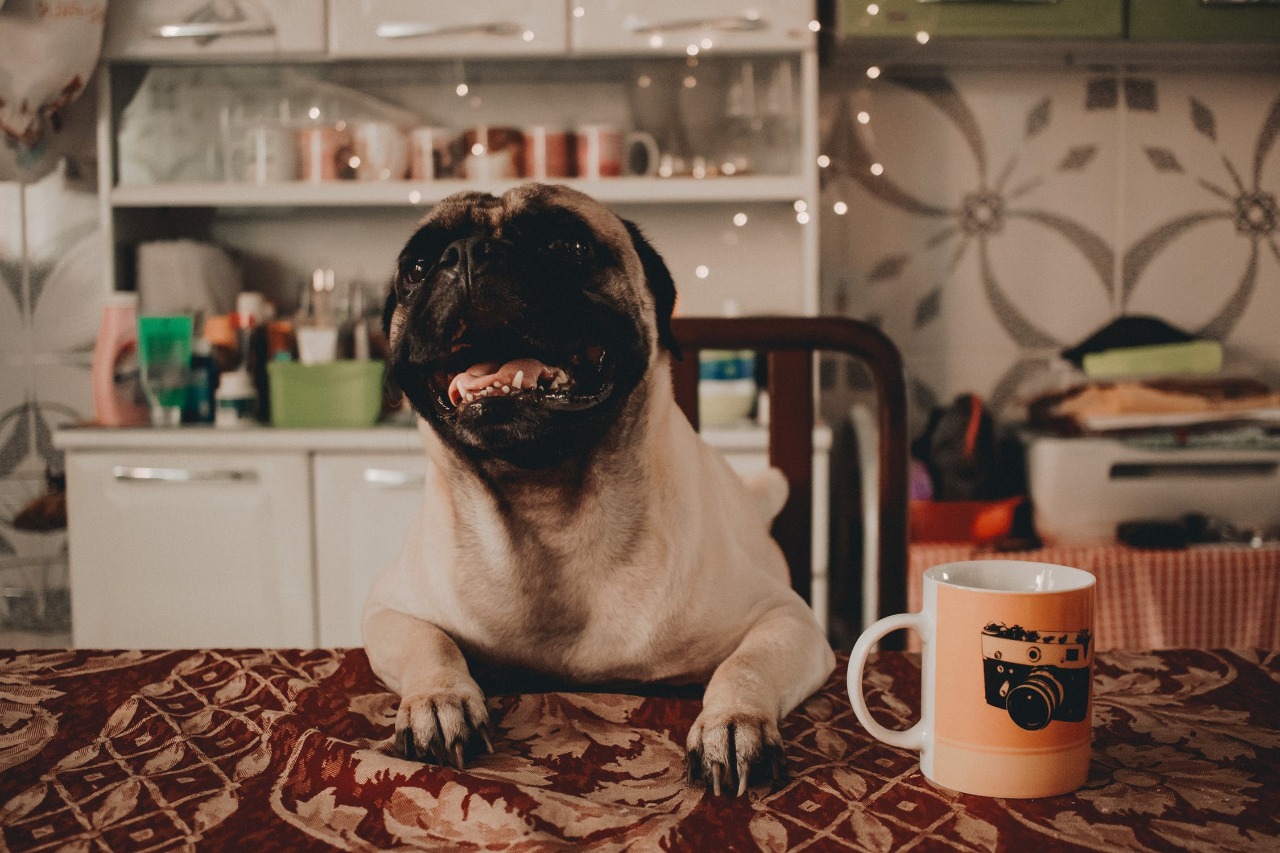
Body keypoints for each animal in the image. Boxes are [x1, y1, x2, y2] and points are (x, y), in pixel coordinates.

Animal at [366, 183, 834, 794]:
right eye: (418, 267)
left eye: (567, 246)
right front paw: (438, 701)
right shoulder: (388, 614)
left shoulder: (788, 622)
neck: (548, 507)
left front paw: (733, 723)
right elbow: (431, 644)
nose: (464, 255)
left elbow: (744, 664)